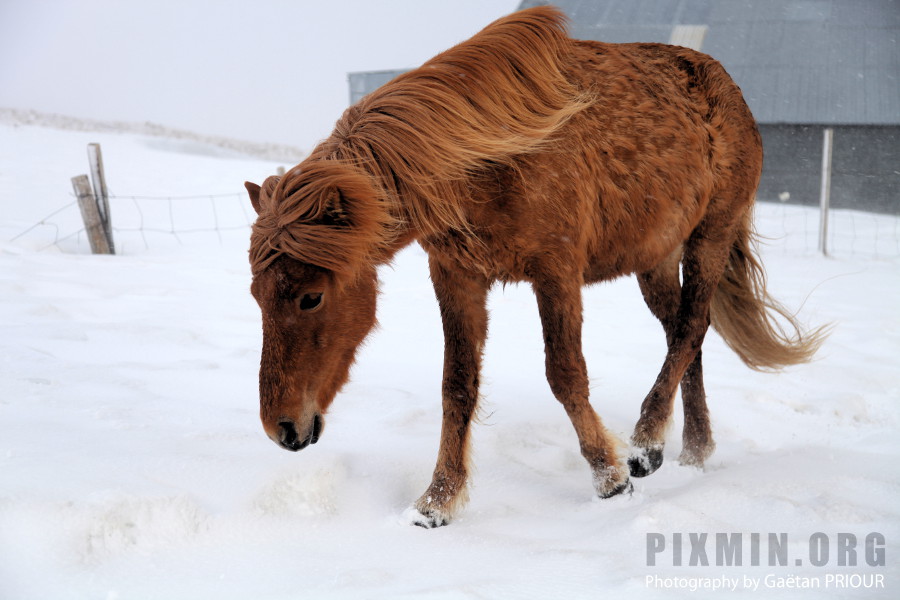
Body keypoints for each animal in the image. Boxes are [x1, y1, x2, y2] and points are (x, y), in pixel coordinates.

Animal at [243, 7, 828, 528]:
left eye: (311, 296)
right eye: (257, 297)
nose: (283, 429)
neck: (487, 157)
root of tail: (726, 87)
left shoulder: (557, 272)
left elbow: (565, 374)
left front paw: (610, 477)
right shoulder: (456, 277)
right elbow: (457, 385)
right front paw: (437, 502)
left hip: (709, 236)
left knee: (689, 328)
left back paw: (646, 444)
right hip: (655, 258)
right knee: (687, 334)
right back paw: (693, 450)